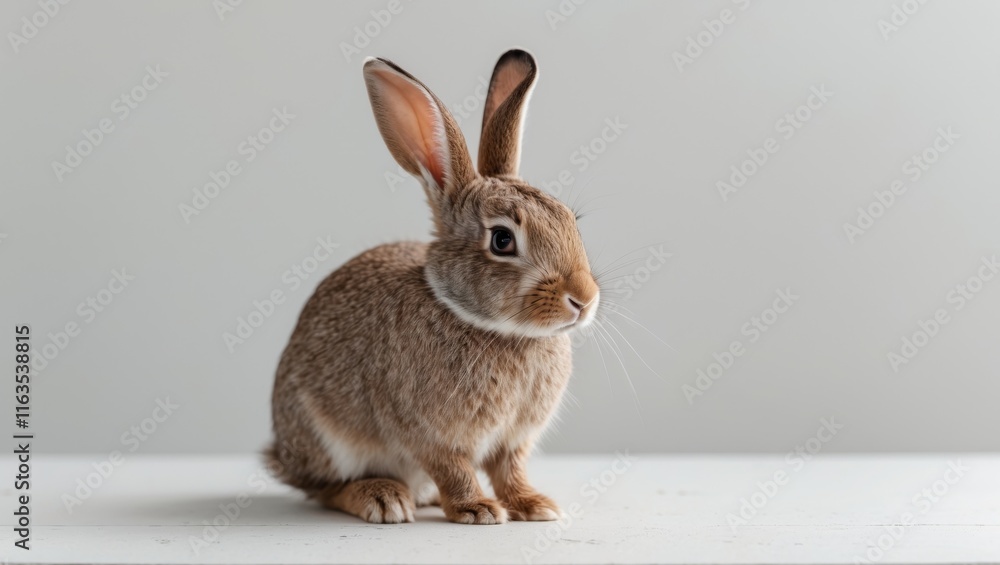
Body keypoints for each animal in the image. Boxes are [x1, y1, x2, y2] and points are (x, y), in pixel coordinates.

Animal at [266, 49, 600, 525]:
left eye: (572, 221)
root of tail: (282, 454)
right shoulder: (426, 433)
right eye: (502, 240)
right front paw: (477, 509)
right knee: (324, 488)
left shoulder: (512, 441)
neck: (496, 330)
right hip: (325, 439)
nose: (584, 300)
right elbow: (453, 467)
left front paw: (535, 506)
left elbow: (510, 470)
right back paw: (383, 498)